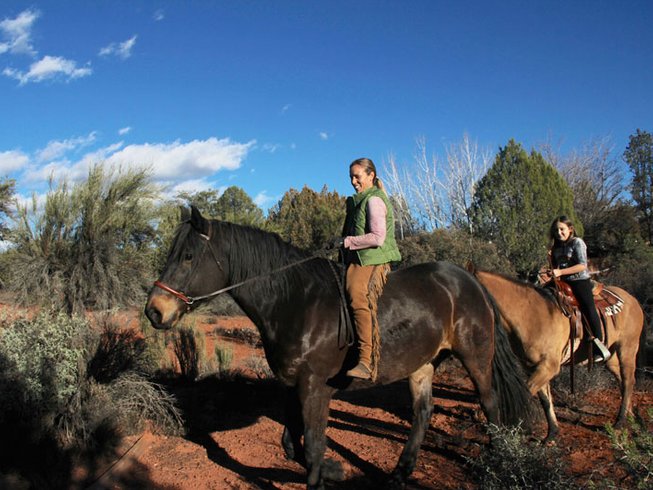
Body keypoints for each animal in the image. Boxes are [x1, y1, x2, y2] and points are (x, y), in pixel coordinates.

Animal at [145, 208, 532, 490]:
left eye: (188, 256)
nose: (154, 311)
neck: (295, 302)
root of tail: (469, 279)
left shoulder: (316, 388)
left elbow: (313, 449)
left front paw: (327, 473)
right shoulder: (293, 386)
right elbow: (293, 446)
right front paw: (334, 470)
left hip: (476, 356)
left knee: (490, 404)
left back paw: (498, 461)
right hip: (423, 363)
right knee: (423, 413)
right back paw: (400, 473)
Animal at [472, 268, 644, 444]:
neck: (531, 315)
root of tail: (633, 300)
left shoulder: (549, 366)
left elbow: (527, 391)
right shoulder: (534, 366)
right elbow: (545, 399)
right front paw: (552, 433)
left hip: (627, 349)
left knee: (628, 381)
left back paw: (620, 421)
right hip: (611, 358)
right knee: (623, 381)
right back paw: (630, 415)